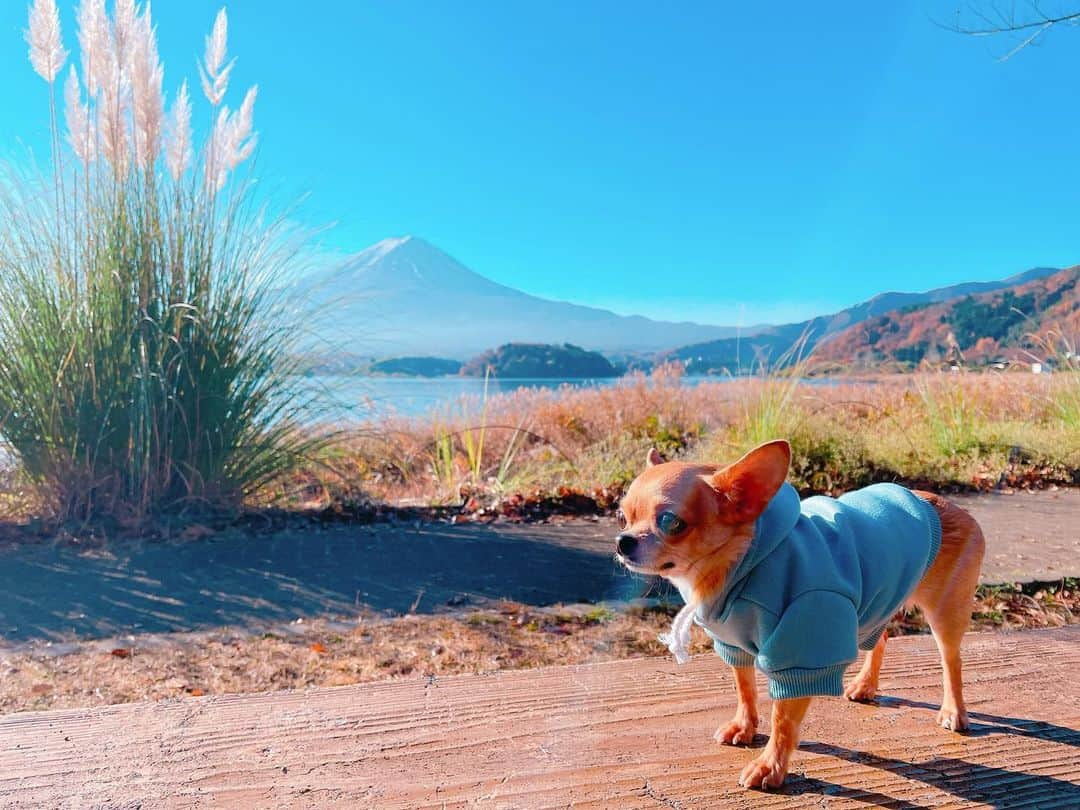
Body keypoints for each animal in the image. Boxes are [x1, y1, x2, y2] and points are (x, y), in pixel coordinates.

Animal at [617, 440, 980, 790]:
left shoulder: (799, 657)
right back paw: (865, 685)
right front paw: (744, 727)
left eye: (671, 522)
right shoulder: (734, 645)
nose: (622, 541)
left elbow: (783, 720)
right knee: (882, 638)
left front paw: (770, 766)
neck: (742, 562)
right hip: (873, 607)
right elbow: (744, 688)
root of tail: (949, 506)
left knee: (952, 661)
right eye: (622, 517)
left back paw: (954, 710)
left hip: (945, 613)